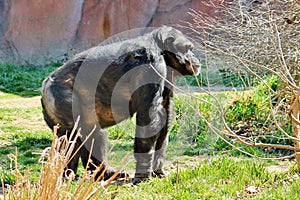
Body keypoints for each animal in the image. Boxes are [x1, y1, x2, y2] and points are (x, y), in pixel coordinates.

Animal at [41, 26, 200, 184]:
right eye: (187, 48)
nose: (195, 58)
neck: (162, 51)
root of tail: (45, 85)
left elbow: (165, 113)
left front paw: (158, 169)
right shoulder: (151, 67)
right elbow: (148, 116)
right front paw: (143, 174)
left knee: (91, 135)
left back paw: (96, 174)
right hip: (62, 100)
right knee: (73, 137)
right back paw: (66, 176)